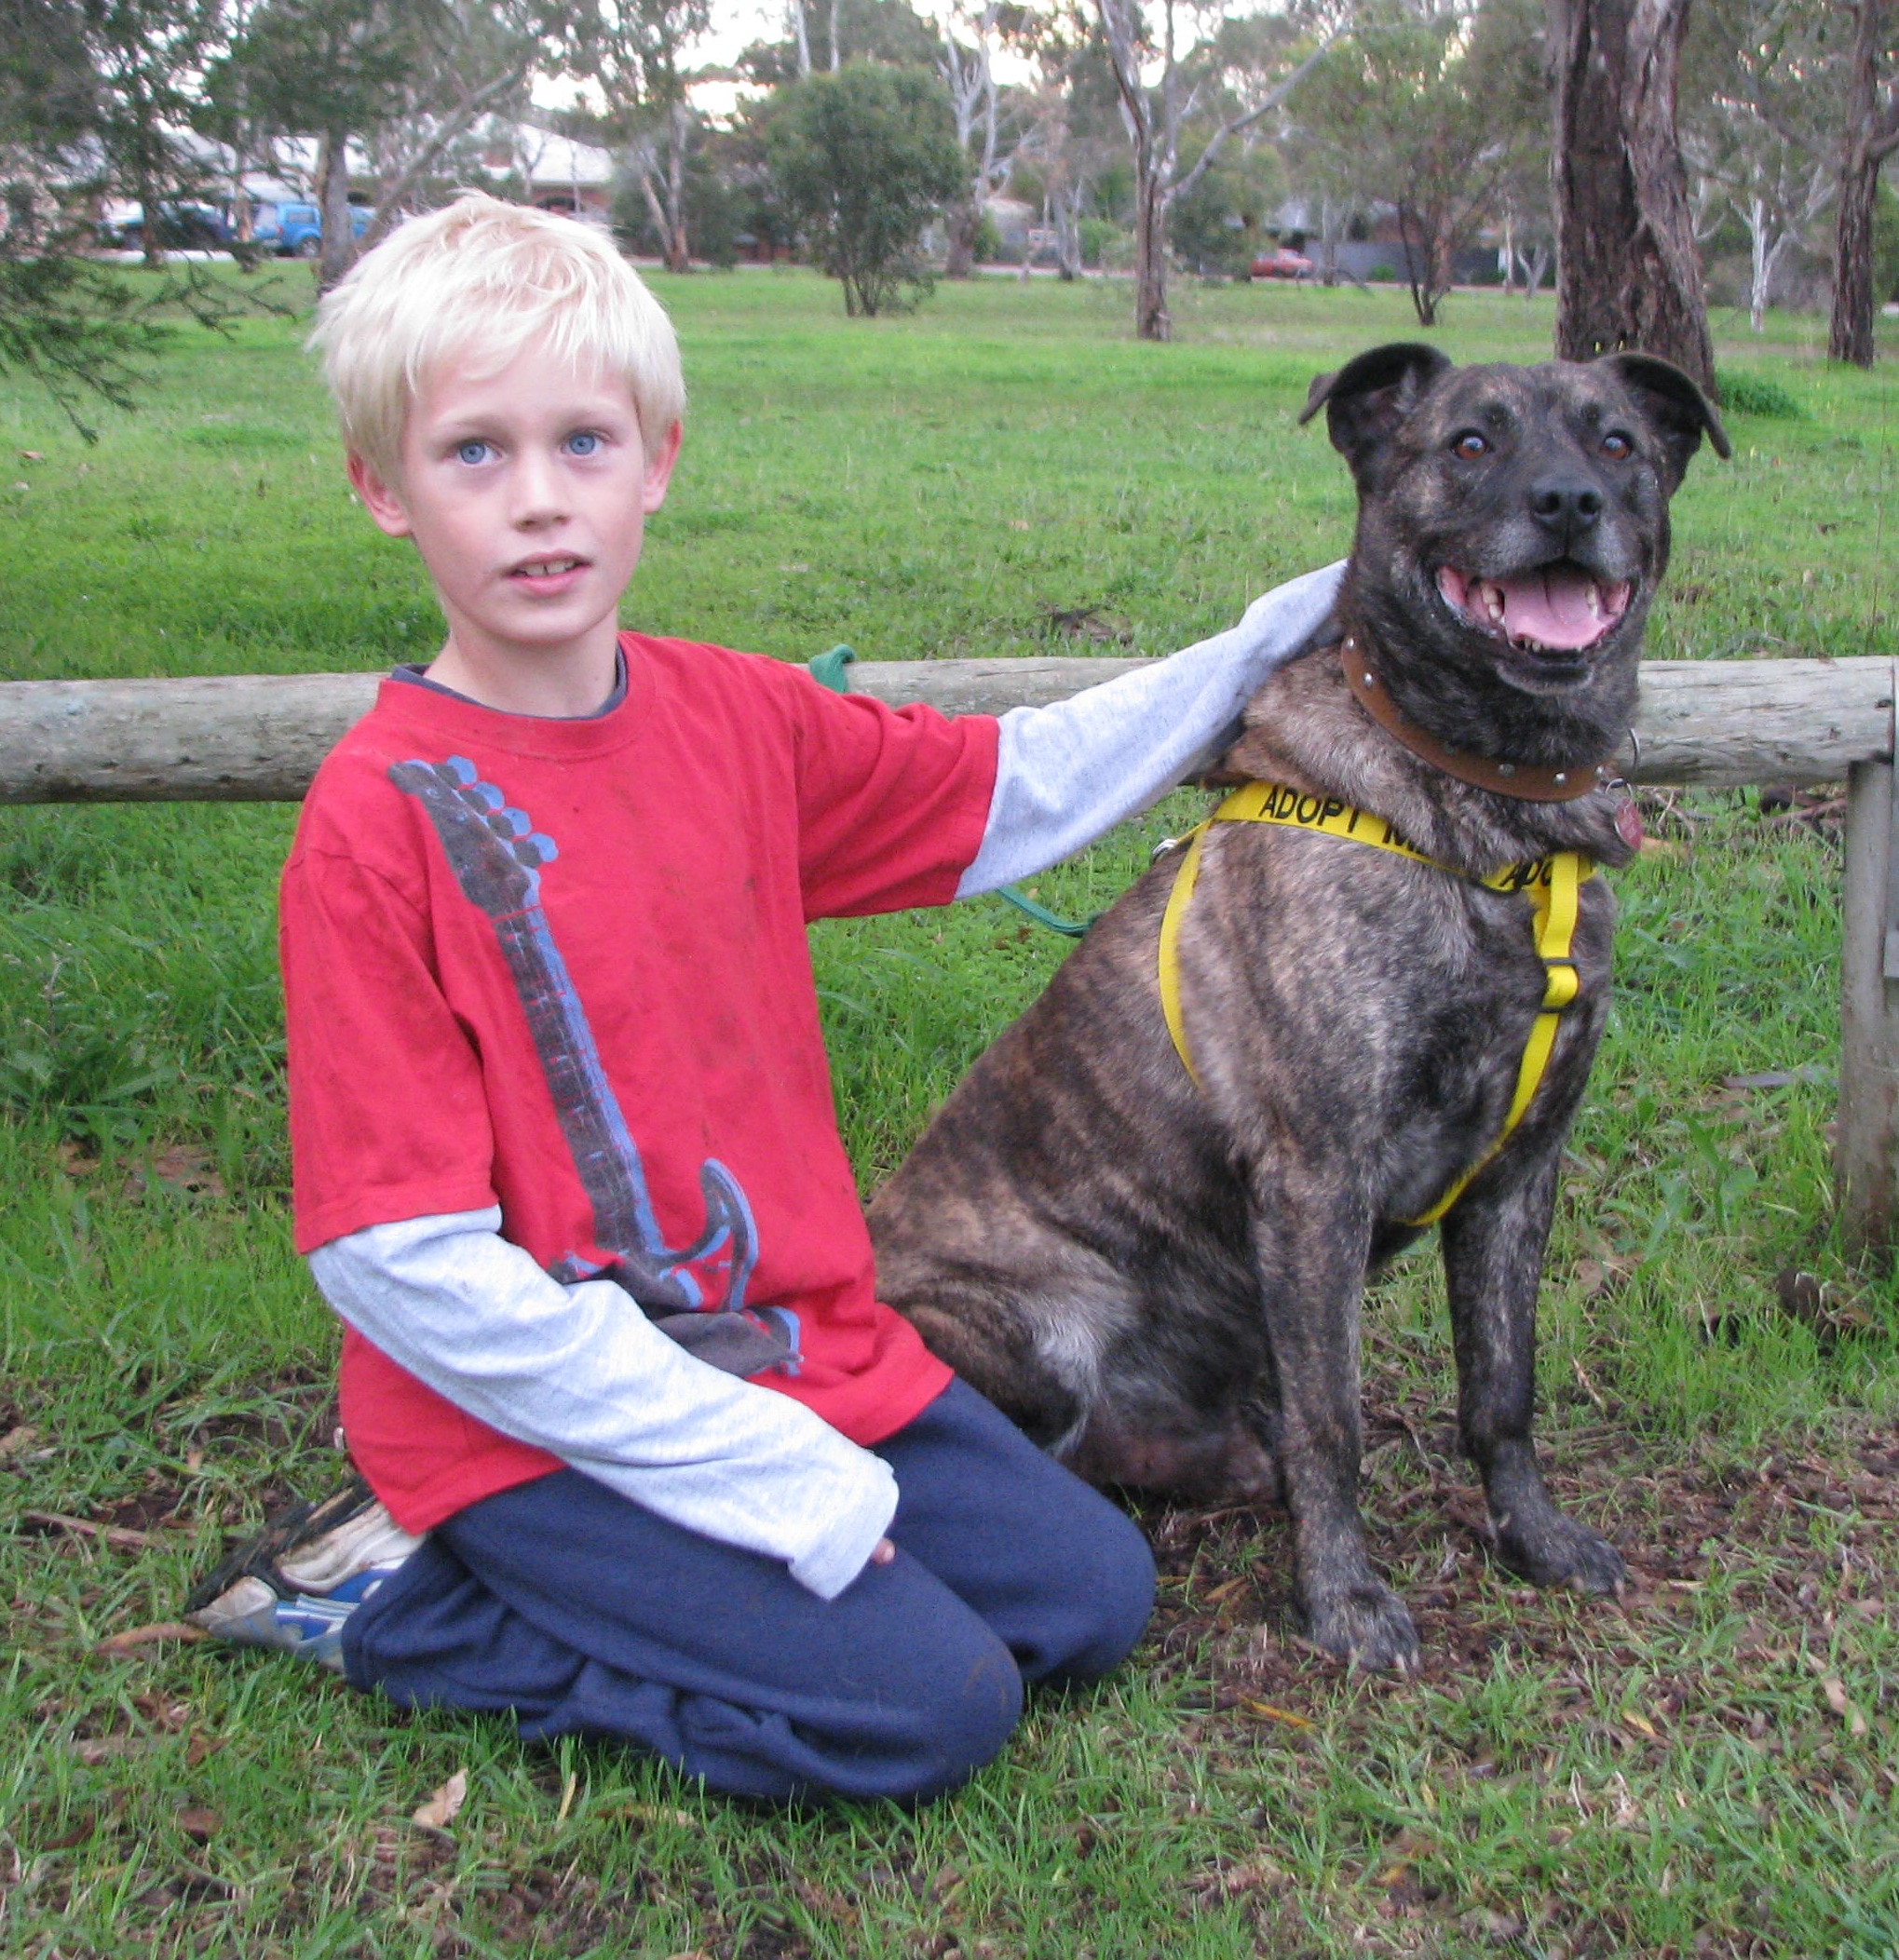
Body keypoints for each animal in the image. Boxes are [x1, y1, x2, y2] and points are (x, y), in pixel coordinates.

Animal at [866, 341, 1724, 1669]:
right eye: (1468, 441)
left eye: (1617, 441)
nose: (1568, 504)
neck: (1492, 820)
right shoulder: (1318, 1175)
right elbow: (1336, 1422)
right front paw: (1344, 1601)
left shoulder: (1519, 1173)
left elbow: (1502, 1390)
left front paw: (1530, 1537)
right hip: (1032, 1331)